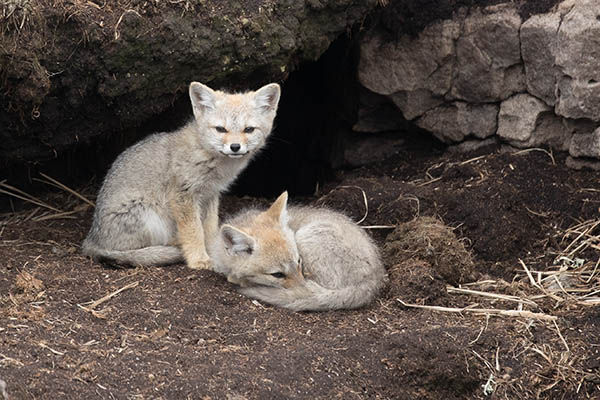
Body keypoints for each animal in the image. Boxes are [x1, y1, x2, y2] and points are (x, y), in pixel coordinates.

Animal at [82, 81, 282, 268]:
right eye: (220, 129)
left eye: (248, 129)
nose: (235, 147)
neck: (207, 155)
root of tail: (91, 239)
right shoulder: (183, 196)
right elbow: (194, 231)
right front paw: (199, 259)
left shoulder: (210, 195)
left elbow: (209, 227)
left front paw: (213, 249)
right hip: (150, 217)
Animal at [209, 192, 386, 310]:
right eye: (277, 274)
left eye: (299, 261)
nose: (302, 286)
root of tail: (373, 279)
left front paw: (239, 279)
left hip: (304, 236)